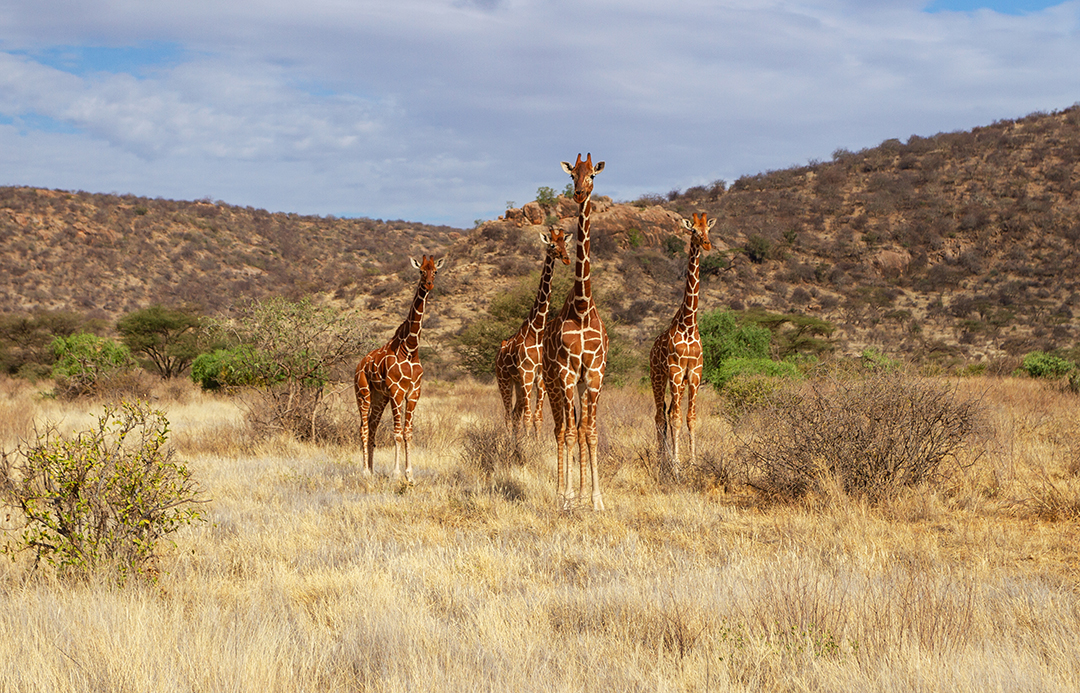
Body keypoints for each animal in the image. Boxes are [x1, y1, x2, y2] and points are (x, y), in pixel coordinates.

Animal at [354, 252, 447, 479]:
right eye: (421, 271)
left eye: (435, 271)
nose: (429, 284)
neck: (410, 346)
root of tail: (358, 365)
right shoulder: (397, 391)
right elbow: (397, 433)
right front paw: (396, 473)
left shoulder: (413, 393)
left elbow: (408, 433)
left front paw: (409, 474)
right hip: (363, 393)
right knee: (363, 428)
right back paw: (365, 472)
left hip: (379, 397)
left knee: (372, 426)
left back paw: (372, 470)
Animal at [494, 225, 574, 431]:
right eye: (552, 244)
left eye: (565, 243)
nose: (566, 259)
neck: (537, 330)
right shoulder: (526, 372)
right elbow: (528, 418)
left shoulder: (539, 376)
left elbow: (537, 417)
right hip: (504, 379)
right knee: (508, 415)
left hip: (517, 382)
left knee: (515, 414)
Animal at [648, 210, 717, 470]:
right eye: (693, 231)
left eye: (709, 230)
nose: (707, 244)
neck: (689, 324)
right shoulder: (677, 372)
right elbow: (677, 418)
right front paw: (677, 463)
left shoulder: (694, 374)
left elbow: (690, 418)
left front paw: (693, 461)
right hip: (657, 377)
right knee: (660, 415)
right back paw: (661, 459)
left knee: (666, 413)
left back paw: (666, 456)